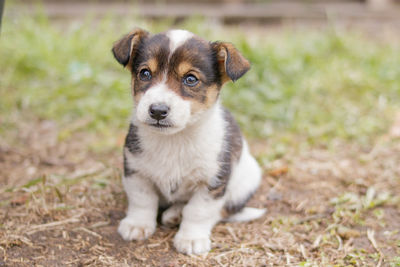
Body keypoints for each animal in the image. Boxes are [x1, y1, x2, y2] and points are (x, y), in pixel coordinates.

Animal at [111, 27, 266, 255]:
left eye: (191, 79)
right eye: (145, 73)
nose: (157, 111)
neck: (173, 140)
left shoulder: (212, 182)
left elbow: (199, 211)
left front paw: (191, 238)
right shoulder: (136, 172)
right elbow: (142, 200)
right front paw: (137, 225)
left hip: (246, 182)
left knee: (221, 211)